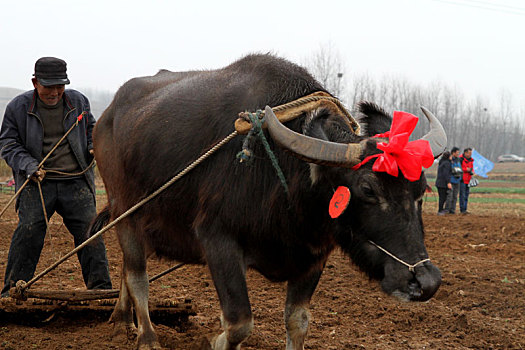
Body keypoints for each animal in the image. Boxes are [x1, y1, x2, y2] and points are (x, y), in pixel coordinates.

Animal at [90, 53, 442, 348]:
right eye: (368, 189)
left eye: (421, 189)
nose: (425, 282)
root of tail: (106, 117)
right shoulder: (218, 241)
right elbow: (239, 324)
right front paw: (215, 340)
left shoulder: (313, 256)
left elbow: (298, 322)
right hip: (125, 211)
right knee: (137, 275)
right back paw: (146, 337)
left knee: (127, 268)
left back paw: (121, 320)